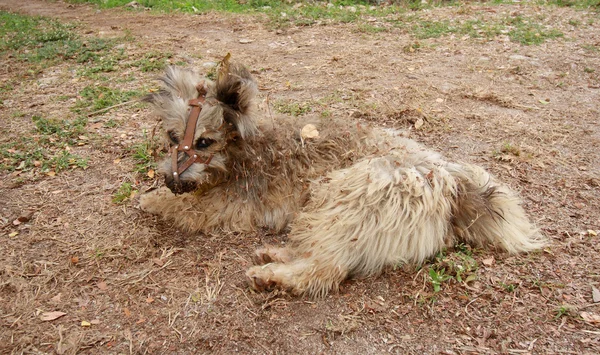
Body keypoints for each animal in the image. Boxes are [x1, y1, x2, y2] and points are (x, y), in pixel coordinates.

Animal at [139, 56, 544, 298]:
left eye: (204, 142)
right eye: (173, 137)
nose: (172, 180)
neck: (245, 147)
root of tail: (453, 185)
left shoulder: (224, 205)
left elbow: (185, 207)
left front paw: (149, 198)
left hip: (345, 195)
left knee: (326, 270)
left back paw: (272, 276)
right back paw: (276, 253)